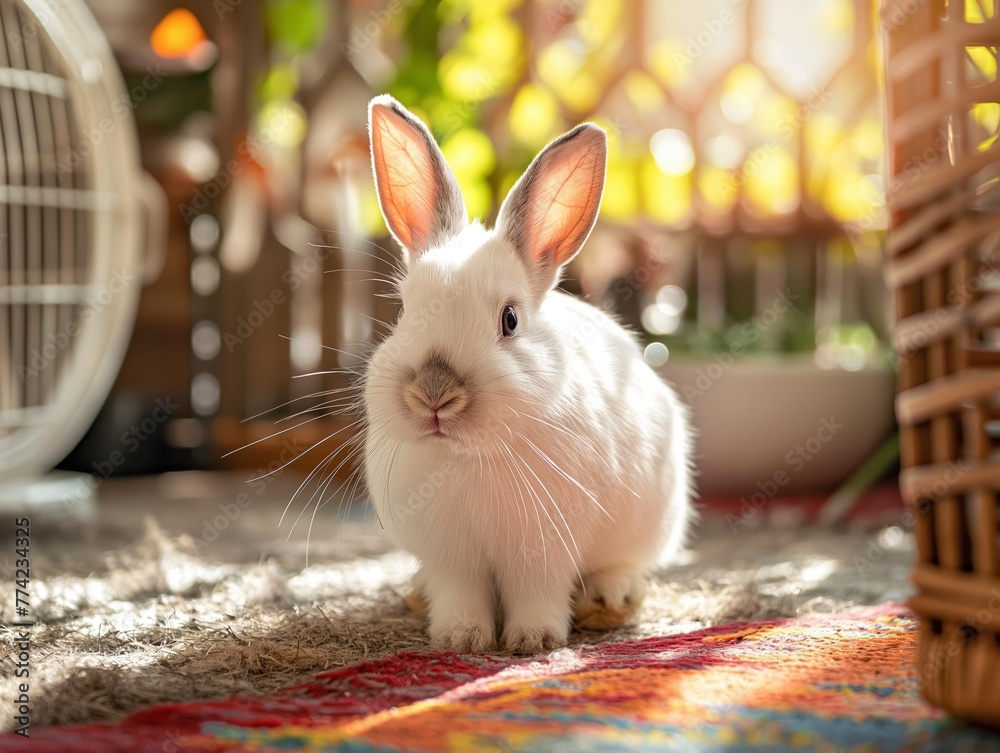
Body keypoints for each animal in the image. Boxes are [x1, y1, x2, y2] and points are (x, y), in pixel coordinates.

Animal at [362, 95, 696, 652]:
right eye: (405, 310)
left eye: (510, 319)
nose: (433, 393)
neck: (469, 456)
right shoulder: (453, 560)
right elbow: (459, 595)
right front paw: (461, 639)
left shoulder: (543, 553)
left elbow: (538, 593)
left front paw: (531, 640)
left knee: (625, 562)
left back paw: (612, 593)